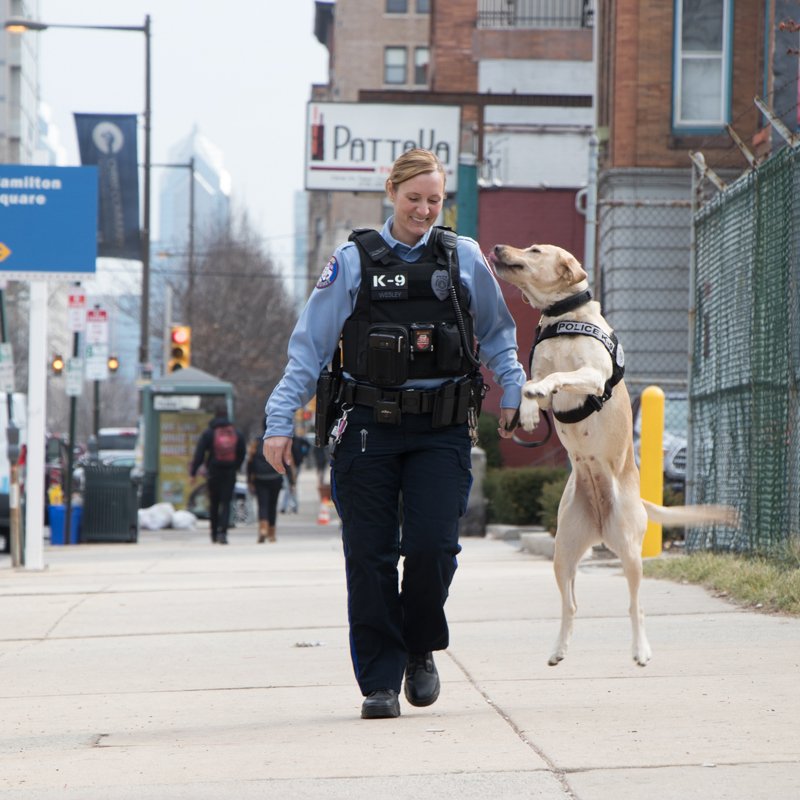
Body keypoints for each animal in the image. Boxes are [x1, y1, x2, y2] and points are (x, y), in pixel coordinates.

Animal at [488, 244, 736, 668]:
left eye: (535, 250)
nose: (499, 248)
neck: (564, 318)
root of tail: (604, 523)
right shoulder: (540, 371)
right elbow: (527, 383)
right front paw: (529, 412)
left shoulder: (591, 374)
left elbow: (556, 378)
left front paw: (540, 394)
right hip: (564, 553)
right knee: (571, 605)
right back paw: (558, 650)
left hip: (631, 554)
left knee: (636, 606)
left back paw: (641, 651)